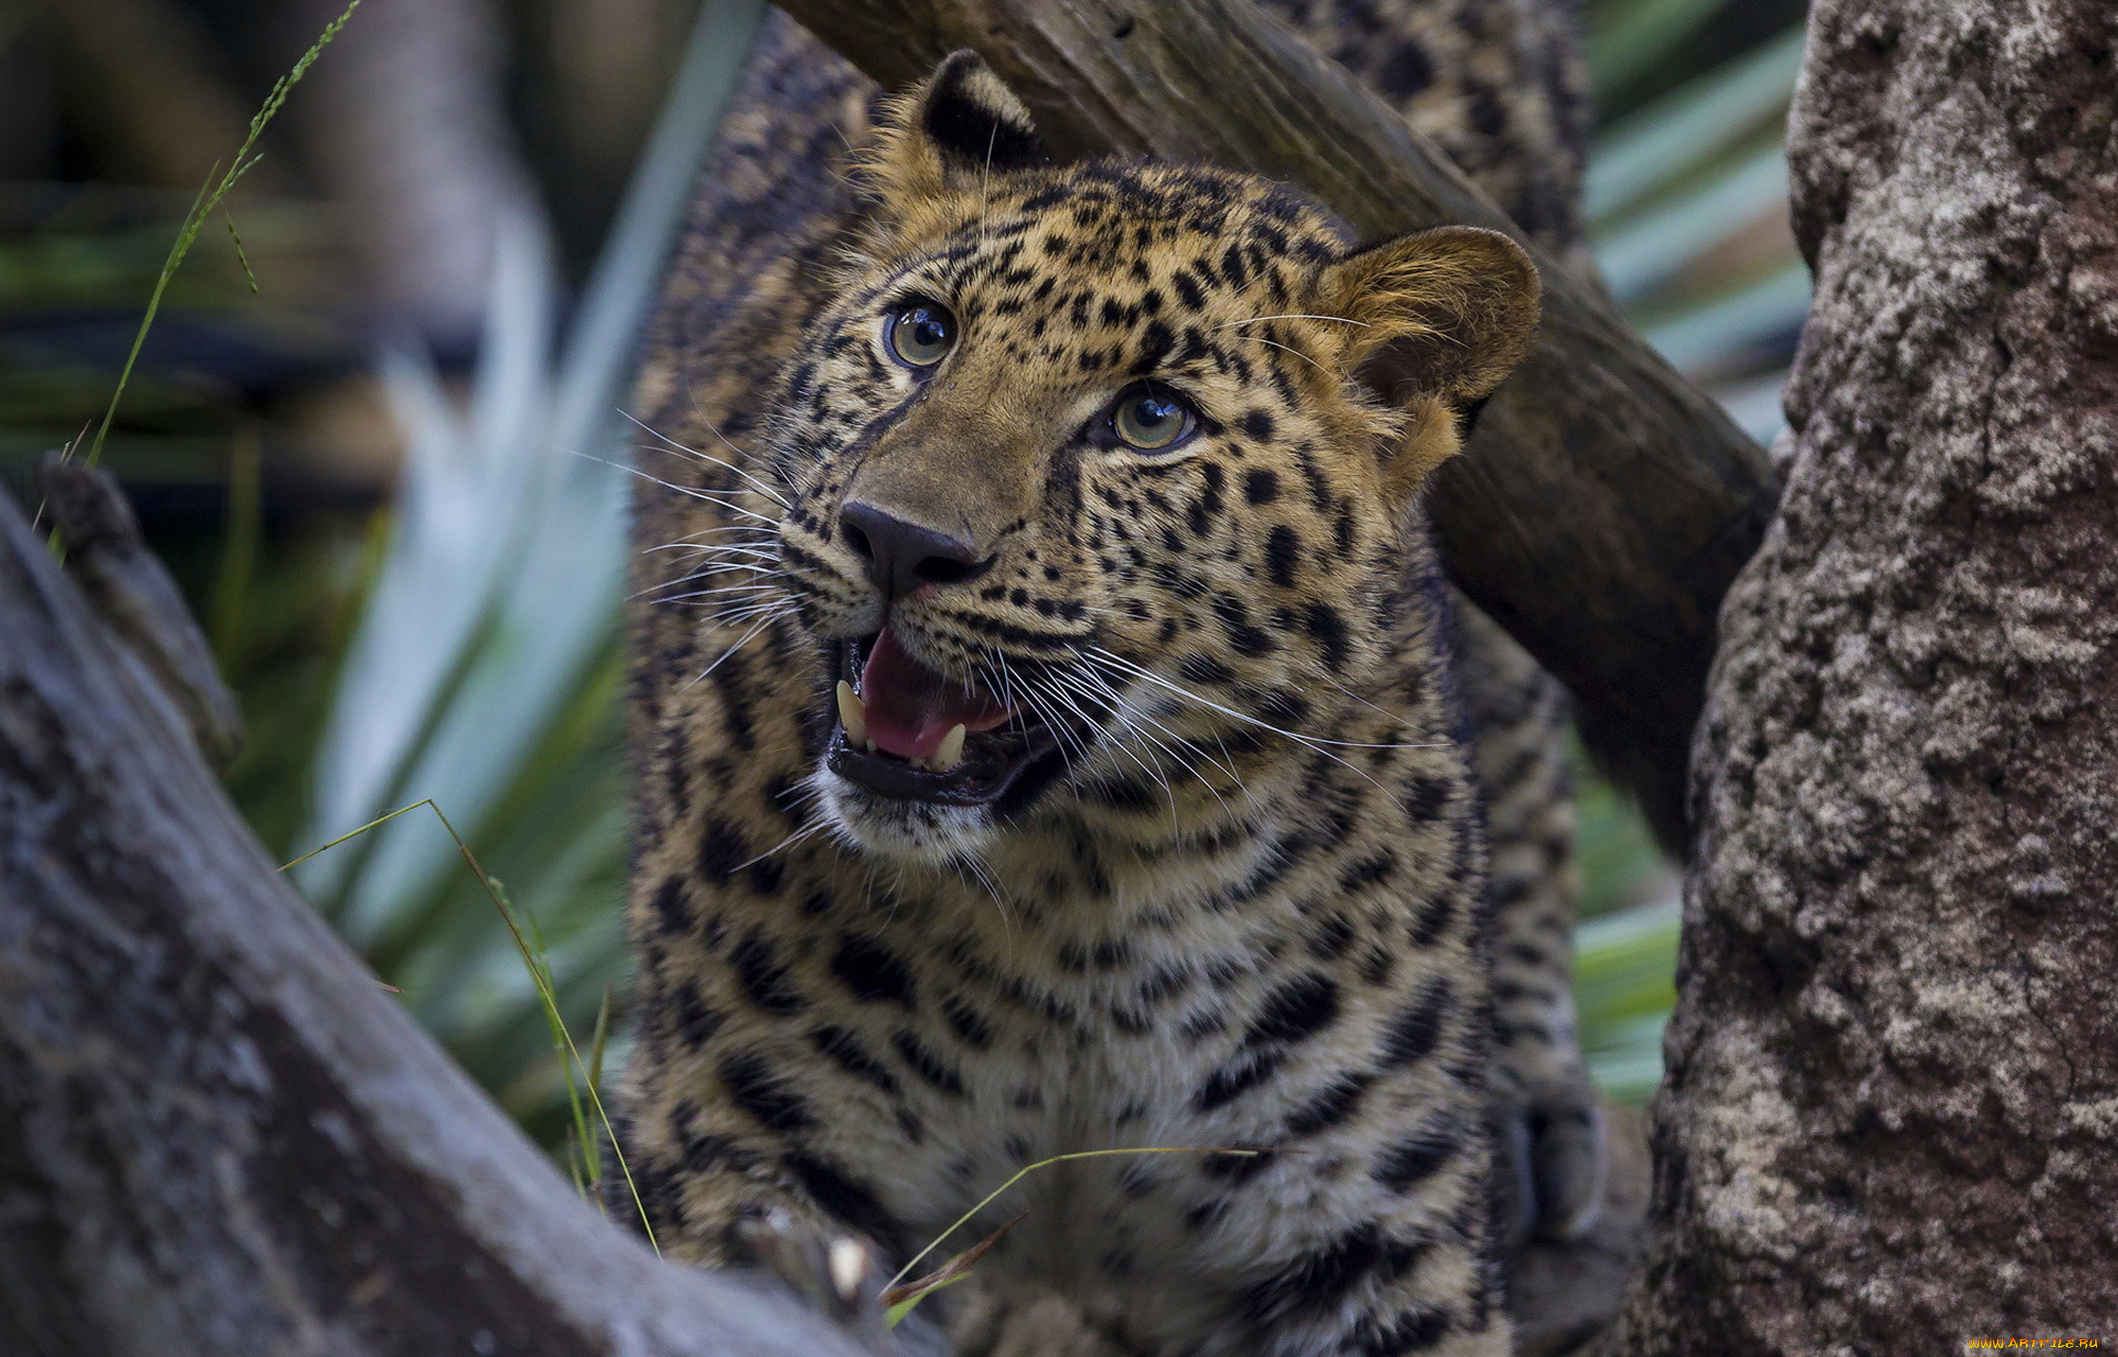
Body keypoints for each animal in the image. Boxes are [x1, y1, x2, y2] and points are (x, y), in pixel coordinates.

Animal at [614, 5, 1601, 1346]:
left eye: (1150, 420)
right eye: (921, 336)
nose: (895, 539)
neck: (1079, 905)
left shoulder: (1371, 1239)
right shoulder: (728, 1140)